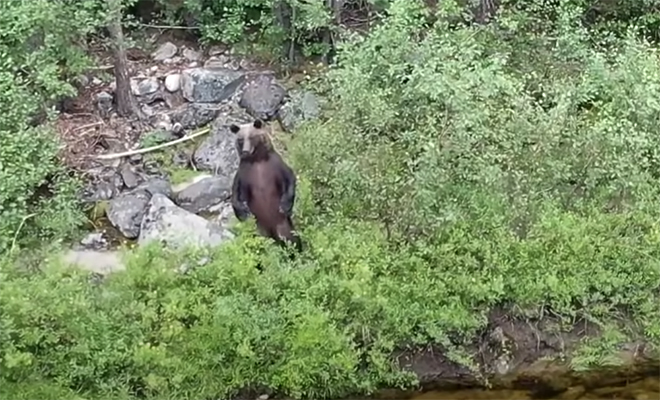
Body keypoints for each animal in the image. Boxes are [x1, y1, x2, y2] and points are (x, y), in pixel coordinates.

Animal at [228, 117, 302, 253]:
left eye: (252, 137)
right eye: (240, 139)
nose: (245, 151)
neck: (257, 160)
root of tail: (272, 232)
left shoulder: (275, 166)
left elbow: (290, 179)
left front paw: (285, 206)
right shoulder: (244, 174)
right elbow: (236, 193)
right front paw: (243, 212)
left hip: (282, 224)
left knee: (291, 238)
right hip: (258, 228)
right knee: (259, 243)